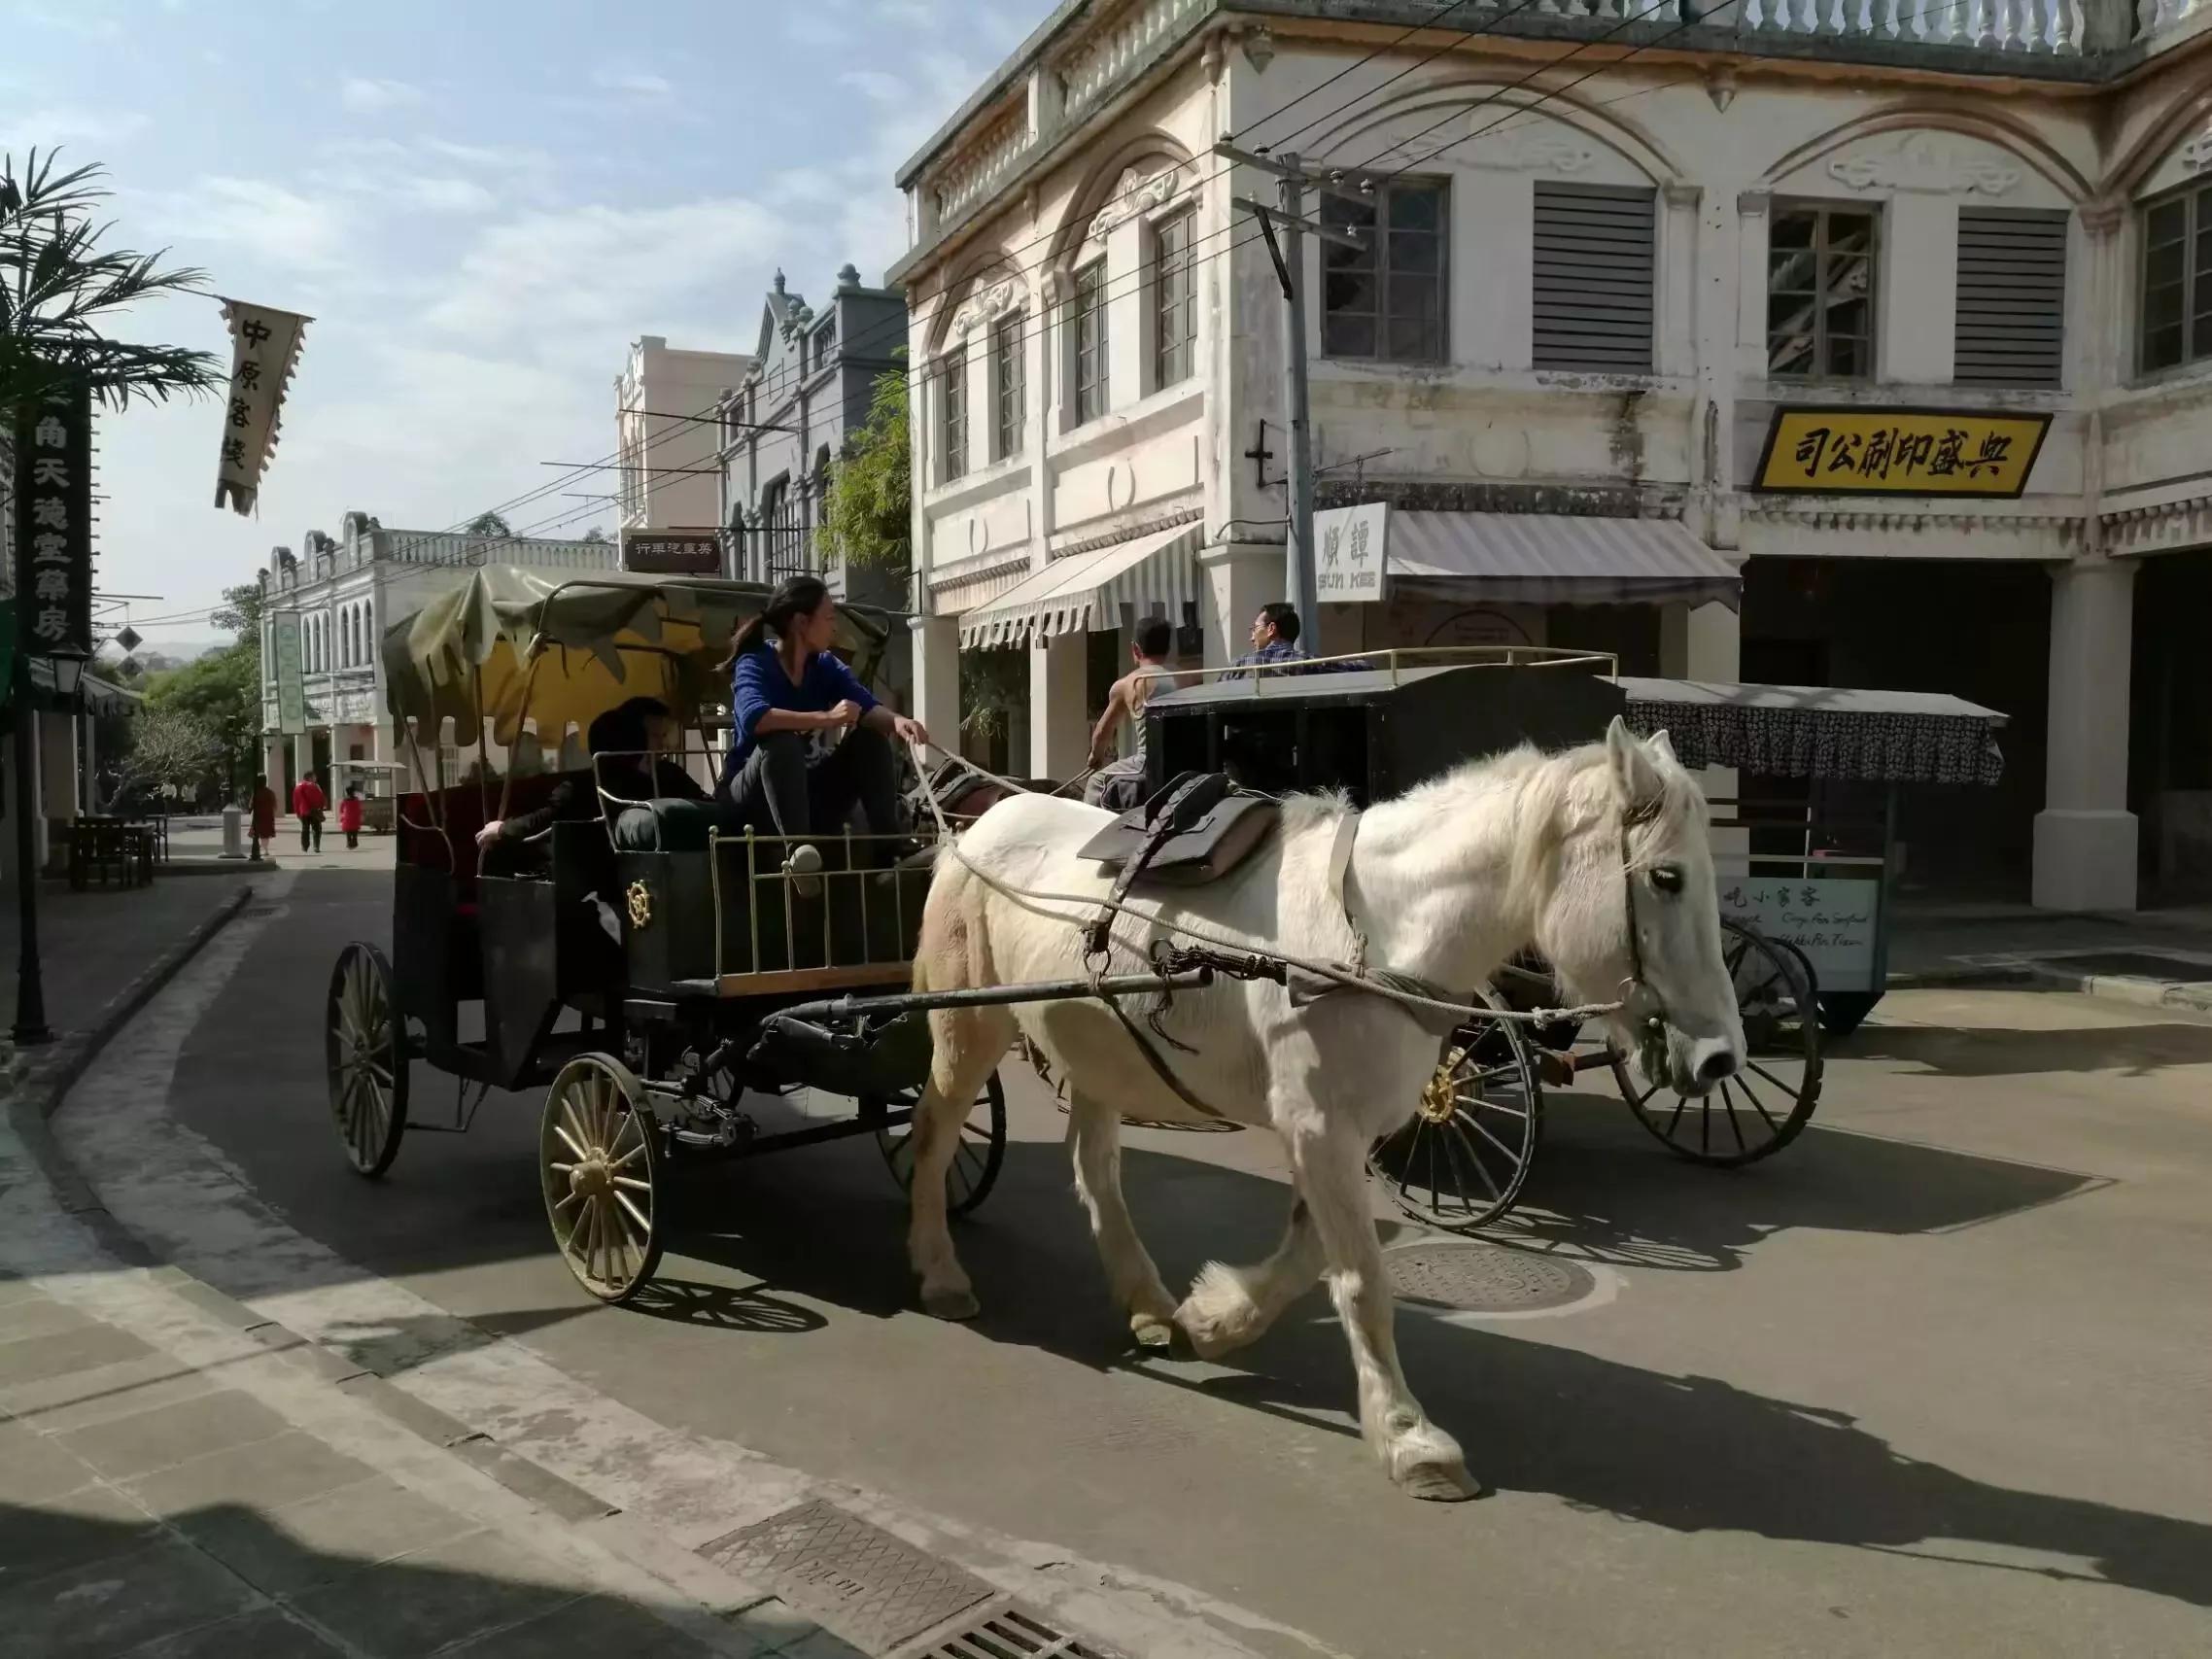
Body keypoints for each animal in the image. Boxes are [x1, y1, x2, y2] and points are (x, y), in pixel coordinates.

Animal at [898, 720, 1743, 1503]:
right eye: (1666, 877)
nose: (1721, 1057)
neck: (1372, 935)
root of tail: (979, 827)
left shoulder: (1339, 1133)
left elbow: (1313, 1257)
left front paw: (1217, 1319)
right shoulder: (1319, 1129)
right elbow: (1363, 1279)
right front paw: (1408, 1434)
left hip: (1097, 1048)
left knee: (1096, 1170)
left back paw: (1147, 1301)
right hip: (969, 1027)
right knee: (934, 1134)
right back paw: (940, 1270)